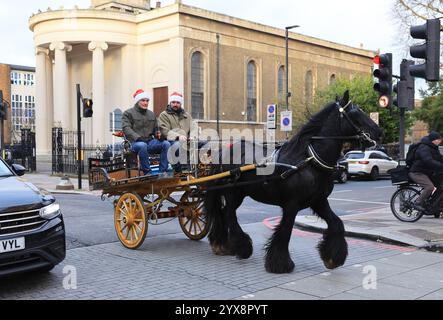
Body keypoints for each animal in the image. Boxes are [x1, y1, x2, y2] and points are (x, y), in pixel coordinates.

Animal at [204, 91, 382, 274]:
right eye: (355, 113)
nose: (379, 131)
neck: (308, 160)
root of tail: (224, 151)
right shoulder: (291, 204)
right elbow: (285, 230)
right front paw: (280, 263)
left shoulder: (319, 201)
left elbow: (337, 223)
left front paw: (333, 257)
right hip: (232, 192)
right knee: (229, 214)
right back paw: (241, 247)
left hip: (240, 193)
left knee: (224, 213)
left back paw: (223, 244)